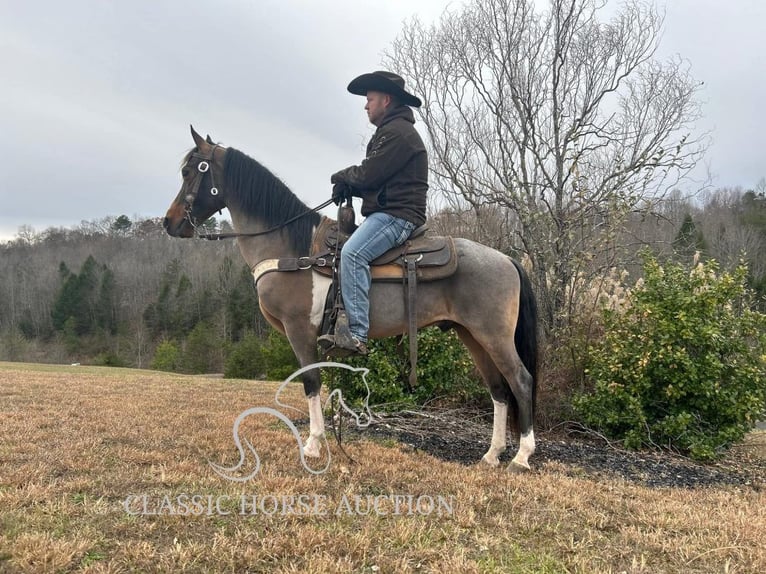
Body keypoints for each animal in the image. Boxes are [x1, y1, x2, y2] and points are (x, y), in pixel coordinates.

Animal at [164, 128, 540, 474]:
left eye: (189, 171)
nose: (170, 223)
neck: (292, 249)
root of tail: (508, 260)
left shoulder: (299, 330)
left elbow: (311, 382)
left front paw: (313, 445)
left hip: (493, 336)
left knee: (520, 380)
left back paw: (520, 457)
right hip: (472, 336)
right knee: (498, 388)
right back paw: (491, 455)